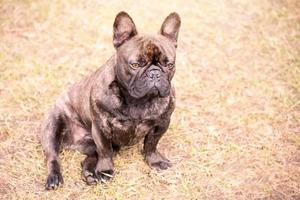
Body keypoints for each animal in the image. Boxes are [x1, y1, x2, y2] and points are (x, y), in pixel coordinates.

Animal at [39, 10, 180, 189]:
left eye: (169, 65)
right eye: (135, 65)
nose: (154, 73)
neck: (137, 101)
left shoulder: (161, 124)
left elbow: (151, 145)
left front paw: (155, 161)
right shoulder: (101, 126)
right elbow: (105, 150)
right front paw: (105, 170)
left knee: (91, 156)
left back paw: (89, 173)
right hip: (52, 127)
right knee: (53, 156)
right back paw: (55, 177)